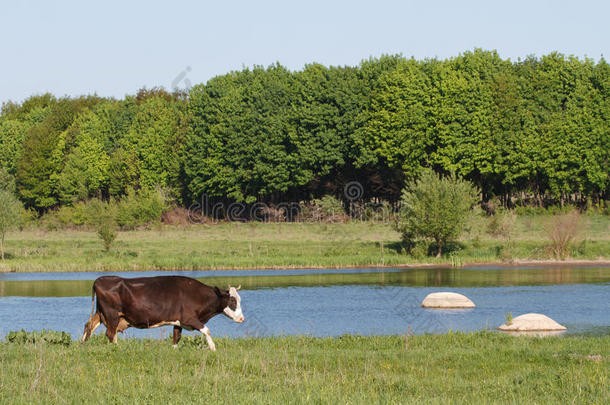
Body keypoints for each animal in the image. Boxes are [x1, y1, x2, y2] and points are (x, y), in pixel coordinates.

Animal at [80, 274, 242, 350]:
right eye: (232, 301)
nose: (242, 319)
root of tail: (99, 279)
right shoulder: (189, 318)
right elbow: (206, 330)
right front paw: (213, 349)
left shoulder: (179, 322)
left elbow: (176, 337)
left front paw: (174, 350)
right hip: (112, 315)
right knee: (110, 333)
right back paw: (116, 349)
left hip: (101, 313)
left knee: (89, 326)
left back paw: (83, 344)